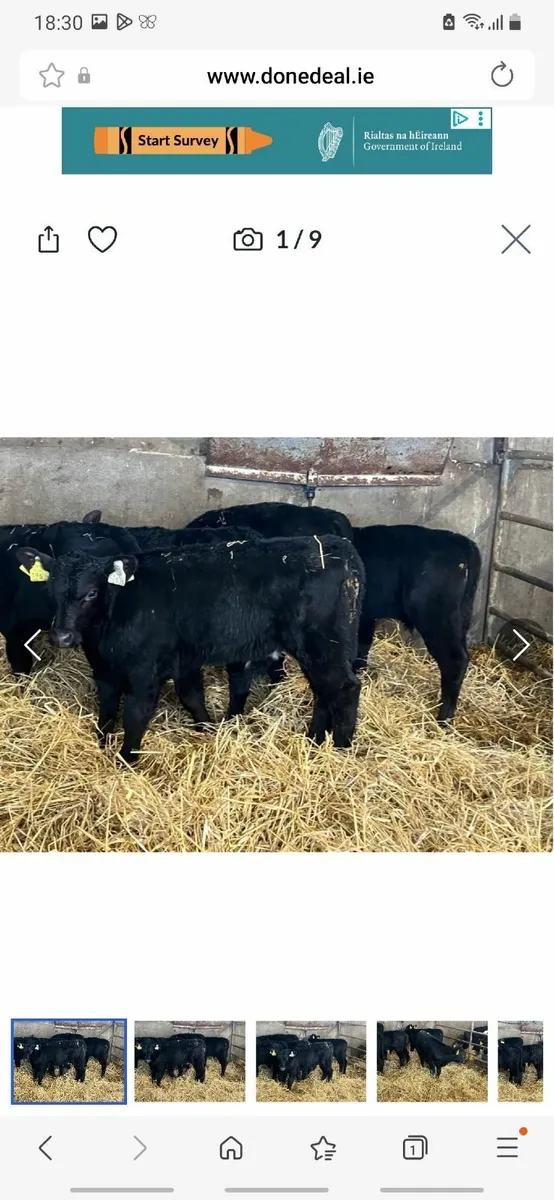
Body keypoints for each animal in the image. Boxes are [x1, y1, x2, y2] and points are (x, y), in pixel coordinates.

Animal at [17, 535, 364, 763]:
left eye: (91, 593)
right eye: (50, 590)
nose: (62, 636)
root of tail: (339, 548)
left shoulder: (146, 671)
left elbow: (135, 714)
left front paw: (125, 760)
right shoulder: (113, 669)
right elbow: (112, 708)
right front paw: (103, 745)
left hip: (324, 643)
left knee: (345, 689)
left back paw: (341, 752)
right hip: (317, 649)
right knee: (323, 691)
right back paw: (314, 741)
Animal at [351, 525, 481, 722]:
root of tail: (461, 542)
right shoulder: (366, 618)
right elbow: (362, 647)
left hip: (435, 618)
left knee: (455, 660)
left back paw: (444, 719)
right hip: (460, 618)